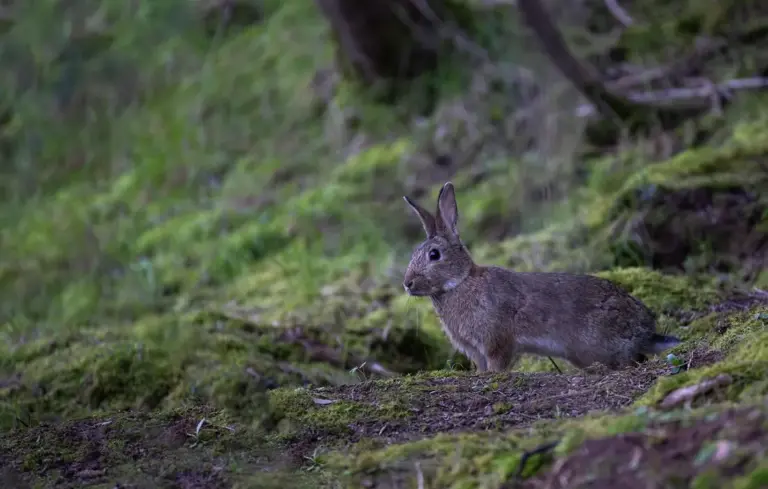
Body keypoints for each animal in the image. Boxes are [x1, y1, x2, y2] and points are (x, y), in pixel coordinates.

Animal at [402, 181, 681, 373]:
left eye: (434, 255)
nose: (407, 283)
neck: (460, 283)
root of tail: (646, 332)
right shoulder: (475, 350)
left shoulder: (496, 340)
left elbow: (497, 364)